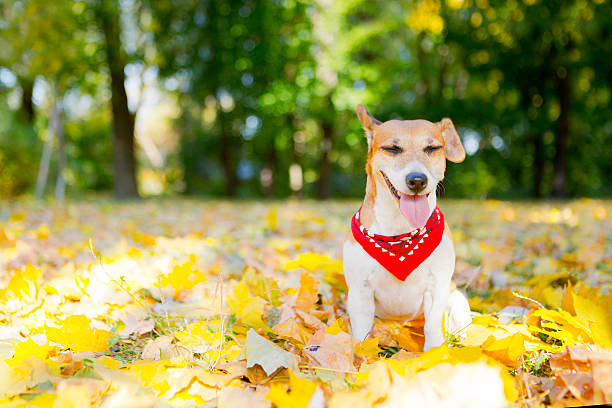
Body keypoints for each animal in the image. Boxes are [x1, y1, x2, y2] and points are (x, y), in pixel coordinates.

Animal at [344, 104, 474, 350]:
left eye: (432, 148)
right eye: (392, 149)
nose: (417, 180)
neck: (400, 233)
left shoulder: (437, 286)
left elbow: (432, 326)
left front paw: (434, 353)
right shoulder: (359, 292)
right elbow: (361, 332)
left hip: (457, 301)